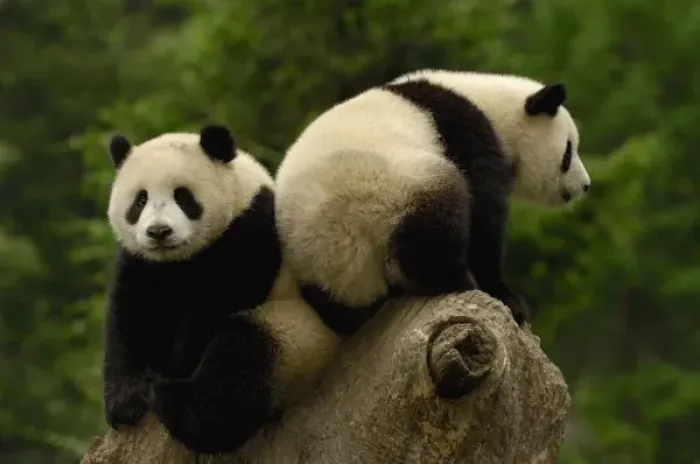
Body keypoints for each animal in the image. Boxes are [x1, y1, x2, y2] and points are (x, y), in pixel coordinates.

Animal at [102, 124, 339, 454]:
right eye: (140, 201)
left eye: (183, 197)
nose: (159, 232)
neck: (178, 260)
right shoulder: (142, 263)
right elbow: (131, 319)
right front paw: (126, 401)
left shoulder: (248, 233)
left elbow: (215, 307)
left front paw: (172, 369)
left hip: (298, 335)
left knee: (239, 365)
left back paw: (176, 404)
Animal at [274, 69, 591, 335]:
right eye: (568, 151)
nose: (585, 185)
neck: (487, 102)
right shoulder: (463, 131)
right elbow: (484, 212)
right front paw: (508, 298)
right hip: (387, 191)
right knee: (436, 223)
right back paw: (456, 280)